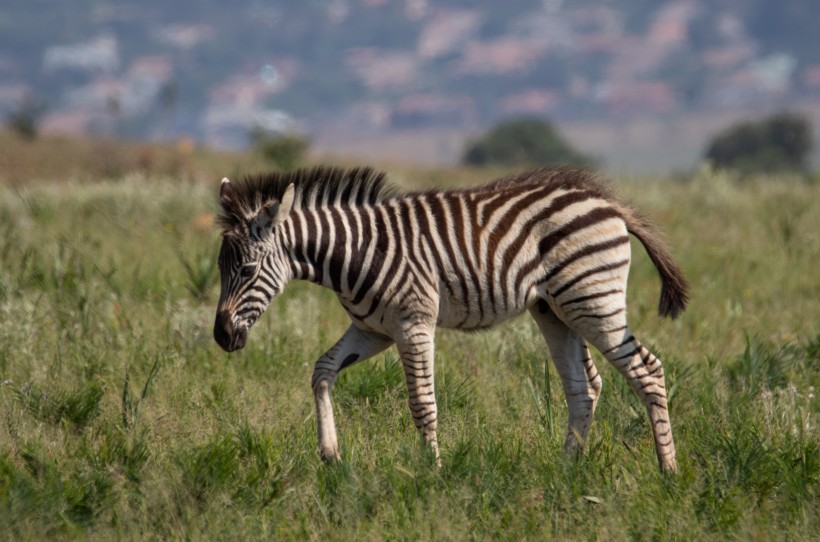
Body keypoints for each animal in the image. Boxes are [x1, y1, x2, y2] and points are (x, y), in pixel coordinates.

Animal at [215, 165, 688, 472]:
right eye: (220, 268)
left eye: (248, 271)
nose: (222, 337)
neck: (353, 253)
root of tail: (608, 202)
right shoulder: (372, 331)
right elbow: (322, 371)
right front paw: (330, 454)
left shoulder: (412, 323)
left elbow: (422, 403)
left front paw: (432, 472)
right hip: (554, 310)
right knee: (584, 387)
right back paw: (566, 470)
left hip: (592, 300)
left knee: (647, 370)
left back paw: (667, 470)